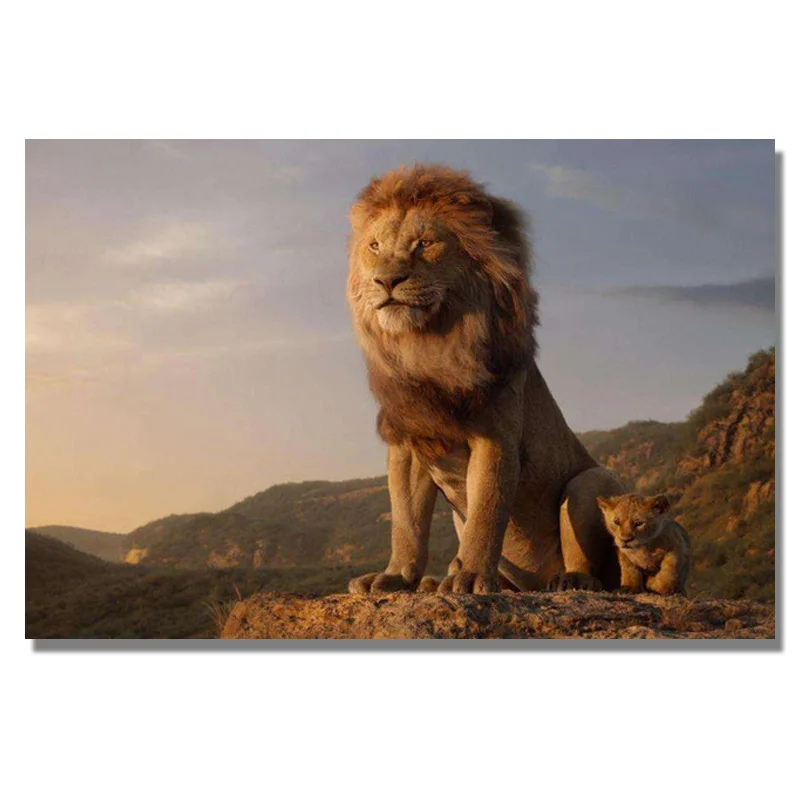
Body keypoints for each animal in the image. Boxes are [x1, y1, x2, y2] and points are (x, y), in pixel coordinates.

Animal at [346, 164, 626, 595]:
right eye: (375, 246)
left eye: (425, 243)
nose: (386, 281)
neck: (427, 345)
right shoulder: (409, 442)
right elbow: (406, 522)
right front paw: (395, 576)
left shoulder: (495, 437)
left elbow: (486, 513)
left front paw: (471, 576)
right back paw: (434, 582)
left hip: (590, 482)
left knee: (589, 558)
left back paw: (569, 580)